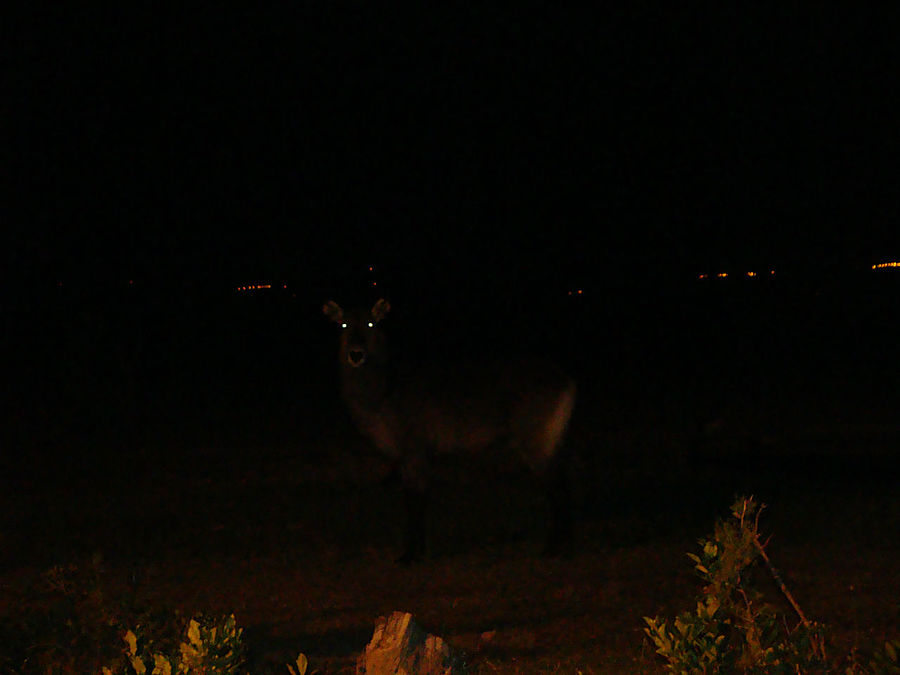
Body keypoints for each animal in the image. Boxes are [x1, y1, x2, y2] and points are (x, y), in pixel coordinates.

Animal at [324, 298, 576, 564]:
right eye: (343, 324)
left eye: (371, 323)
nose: (356, 354)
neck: (381, 396)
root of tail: (568, 382)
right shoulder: (411, 455)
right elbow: (416, 499)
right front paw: (418, 551)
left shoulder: (413, 448)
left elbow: (414, 501)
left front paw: (410, 556)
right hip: (552, 437)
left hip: (535, 438)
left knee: (557, 488)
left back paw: (553, 549)